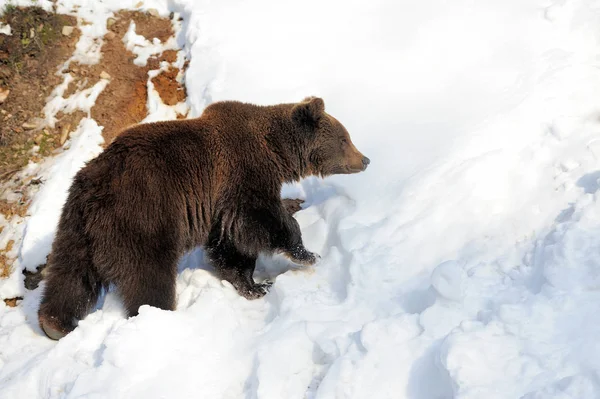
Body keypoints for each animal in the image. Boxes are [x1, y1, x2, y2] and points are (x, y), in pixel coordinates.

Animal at [37, 95, 368, 340]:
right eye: (344, 138)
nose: (365, 159)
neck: (275, 152)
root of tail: (93, 188)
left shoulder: (218, 205)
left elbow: (228, 244)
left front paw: (251, 283)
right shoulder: (241, 174)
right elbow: (260, 221)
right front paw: (305, 254)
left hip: (75, 226)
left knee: (70, 276)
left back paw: (54, 323)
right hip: (143, 217)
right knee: (149, 276)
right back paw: (159, 316)